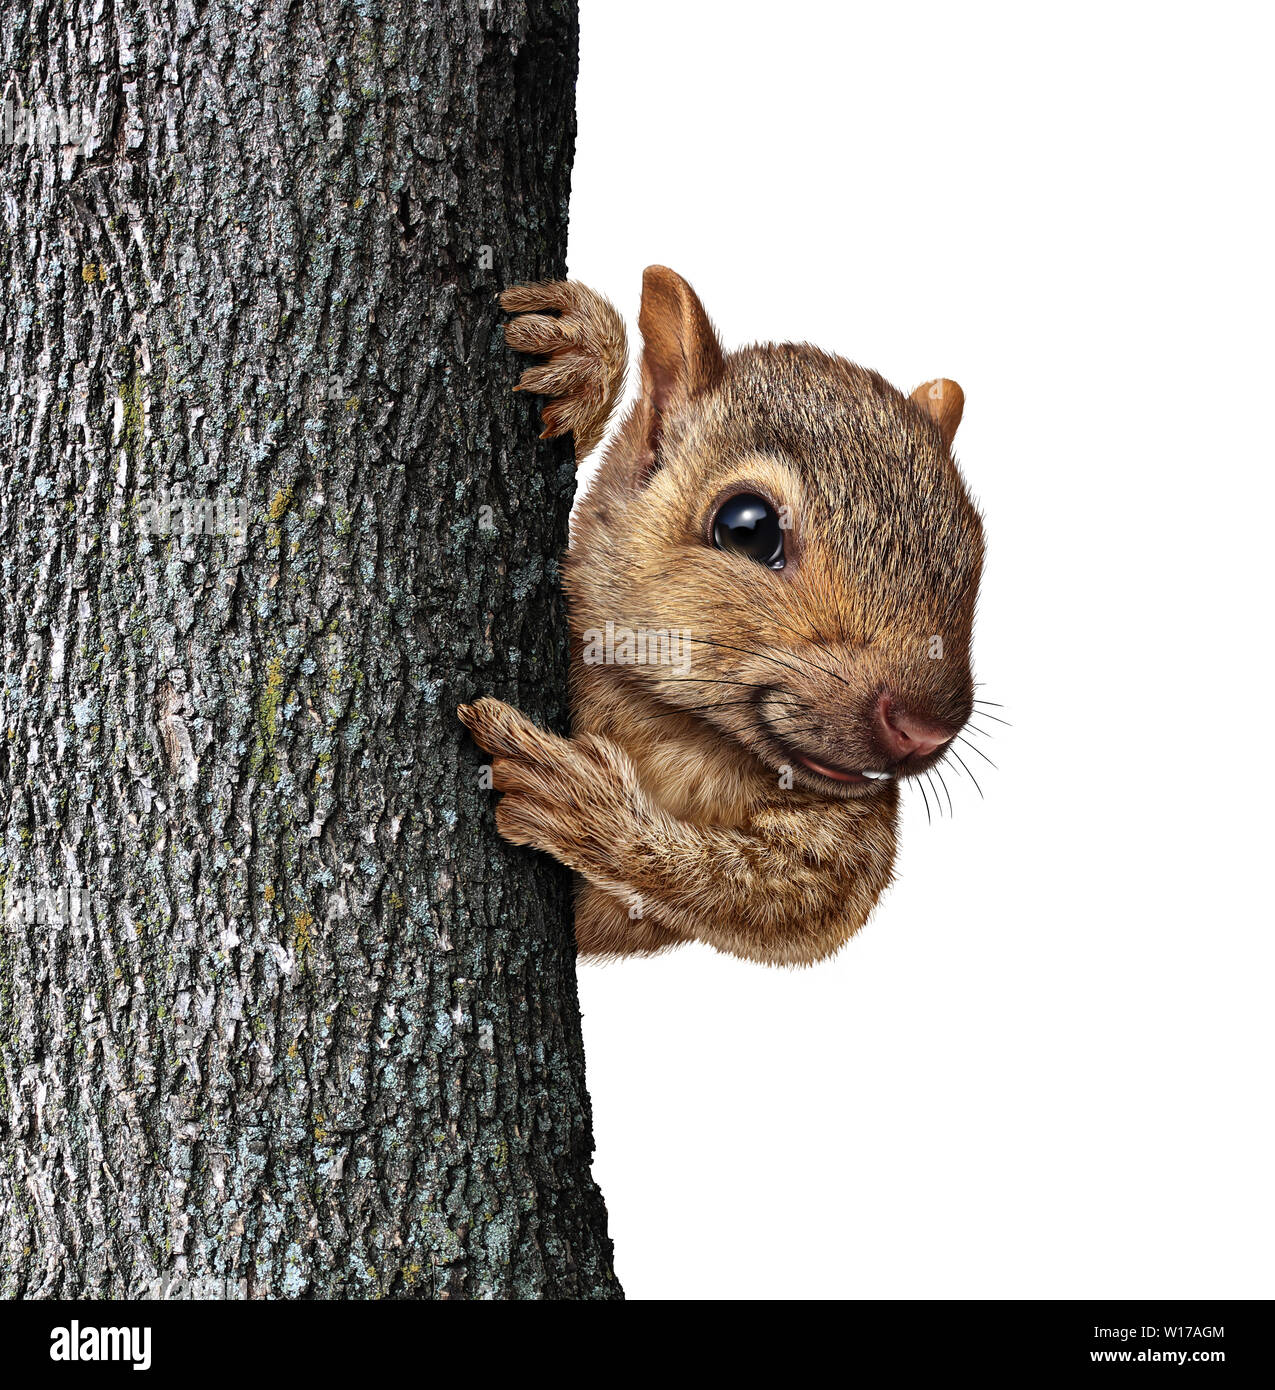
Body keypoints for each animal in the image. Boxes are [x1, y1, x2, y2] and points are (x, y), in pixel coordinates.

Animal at [459, 267, 984, 966]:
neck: (682, 729)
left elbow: (779, 900)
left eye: (976, 549)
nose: (925, 729)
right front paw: (583, 358)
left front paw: (581, 803)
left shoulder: (852, 838)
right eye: (748, 528)